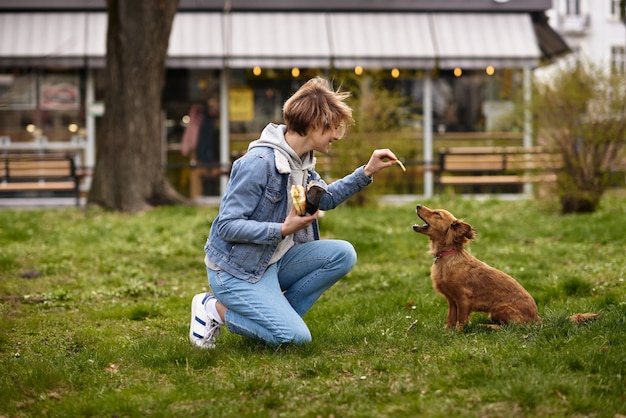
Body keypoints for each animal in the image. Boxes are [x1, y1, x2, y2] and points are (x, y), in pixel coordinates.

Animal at [412, 204, 540, 332]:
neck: (447, 256)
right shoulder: (452, 300)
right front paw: (448, 330)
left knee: (512, 326)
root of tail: (537, 319)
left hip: (500, 309)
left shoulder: (463, 298)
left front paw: (459, 332)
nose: (418, 205)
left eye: (437, 214)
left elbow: (462, 318)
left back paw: (486, 326)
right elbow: (451, 317)